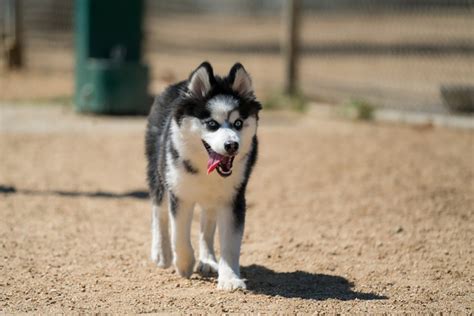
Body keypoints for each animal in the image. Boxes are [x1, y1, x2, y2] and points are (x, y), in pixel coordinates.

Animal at [145, 60, 262, 290]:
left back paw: (207, 260)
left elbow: (230, 243)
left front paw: (230, 278)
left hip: (212, 199)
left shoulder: (233, 198)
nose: (232, 145)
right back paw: (162, 253)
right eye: (212, 124)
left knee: (207, 225)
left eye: (238, 123)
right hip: (159, 174)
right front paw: (184, 264)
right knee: (159, 212)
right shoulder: (179, 194)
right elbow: (179, 235)